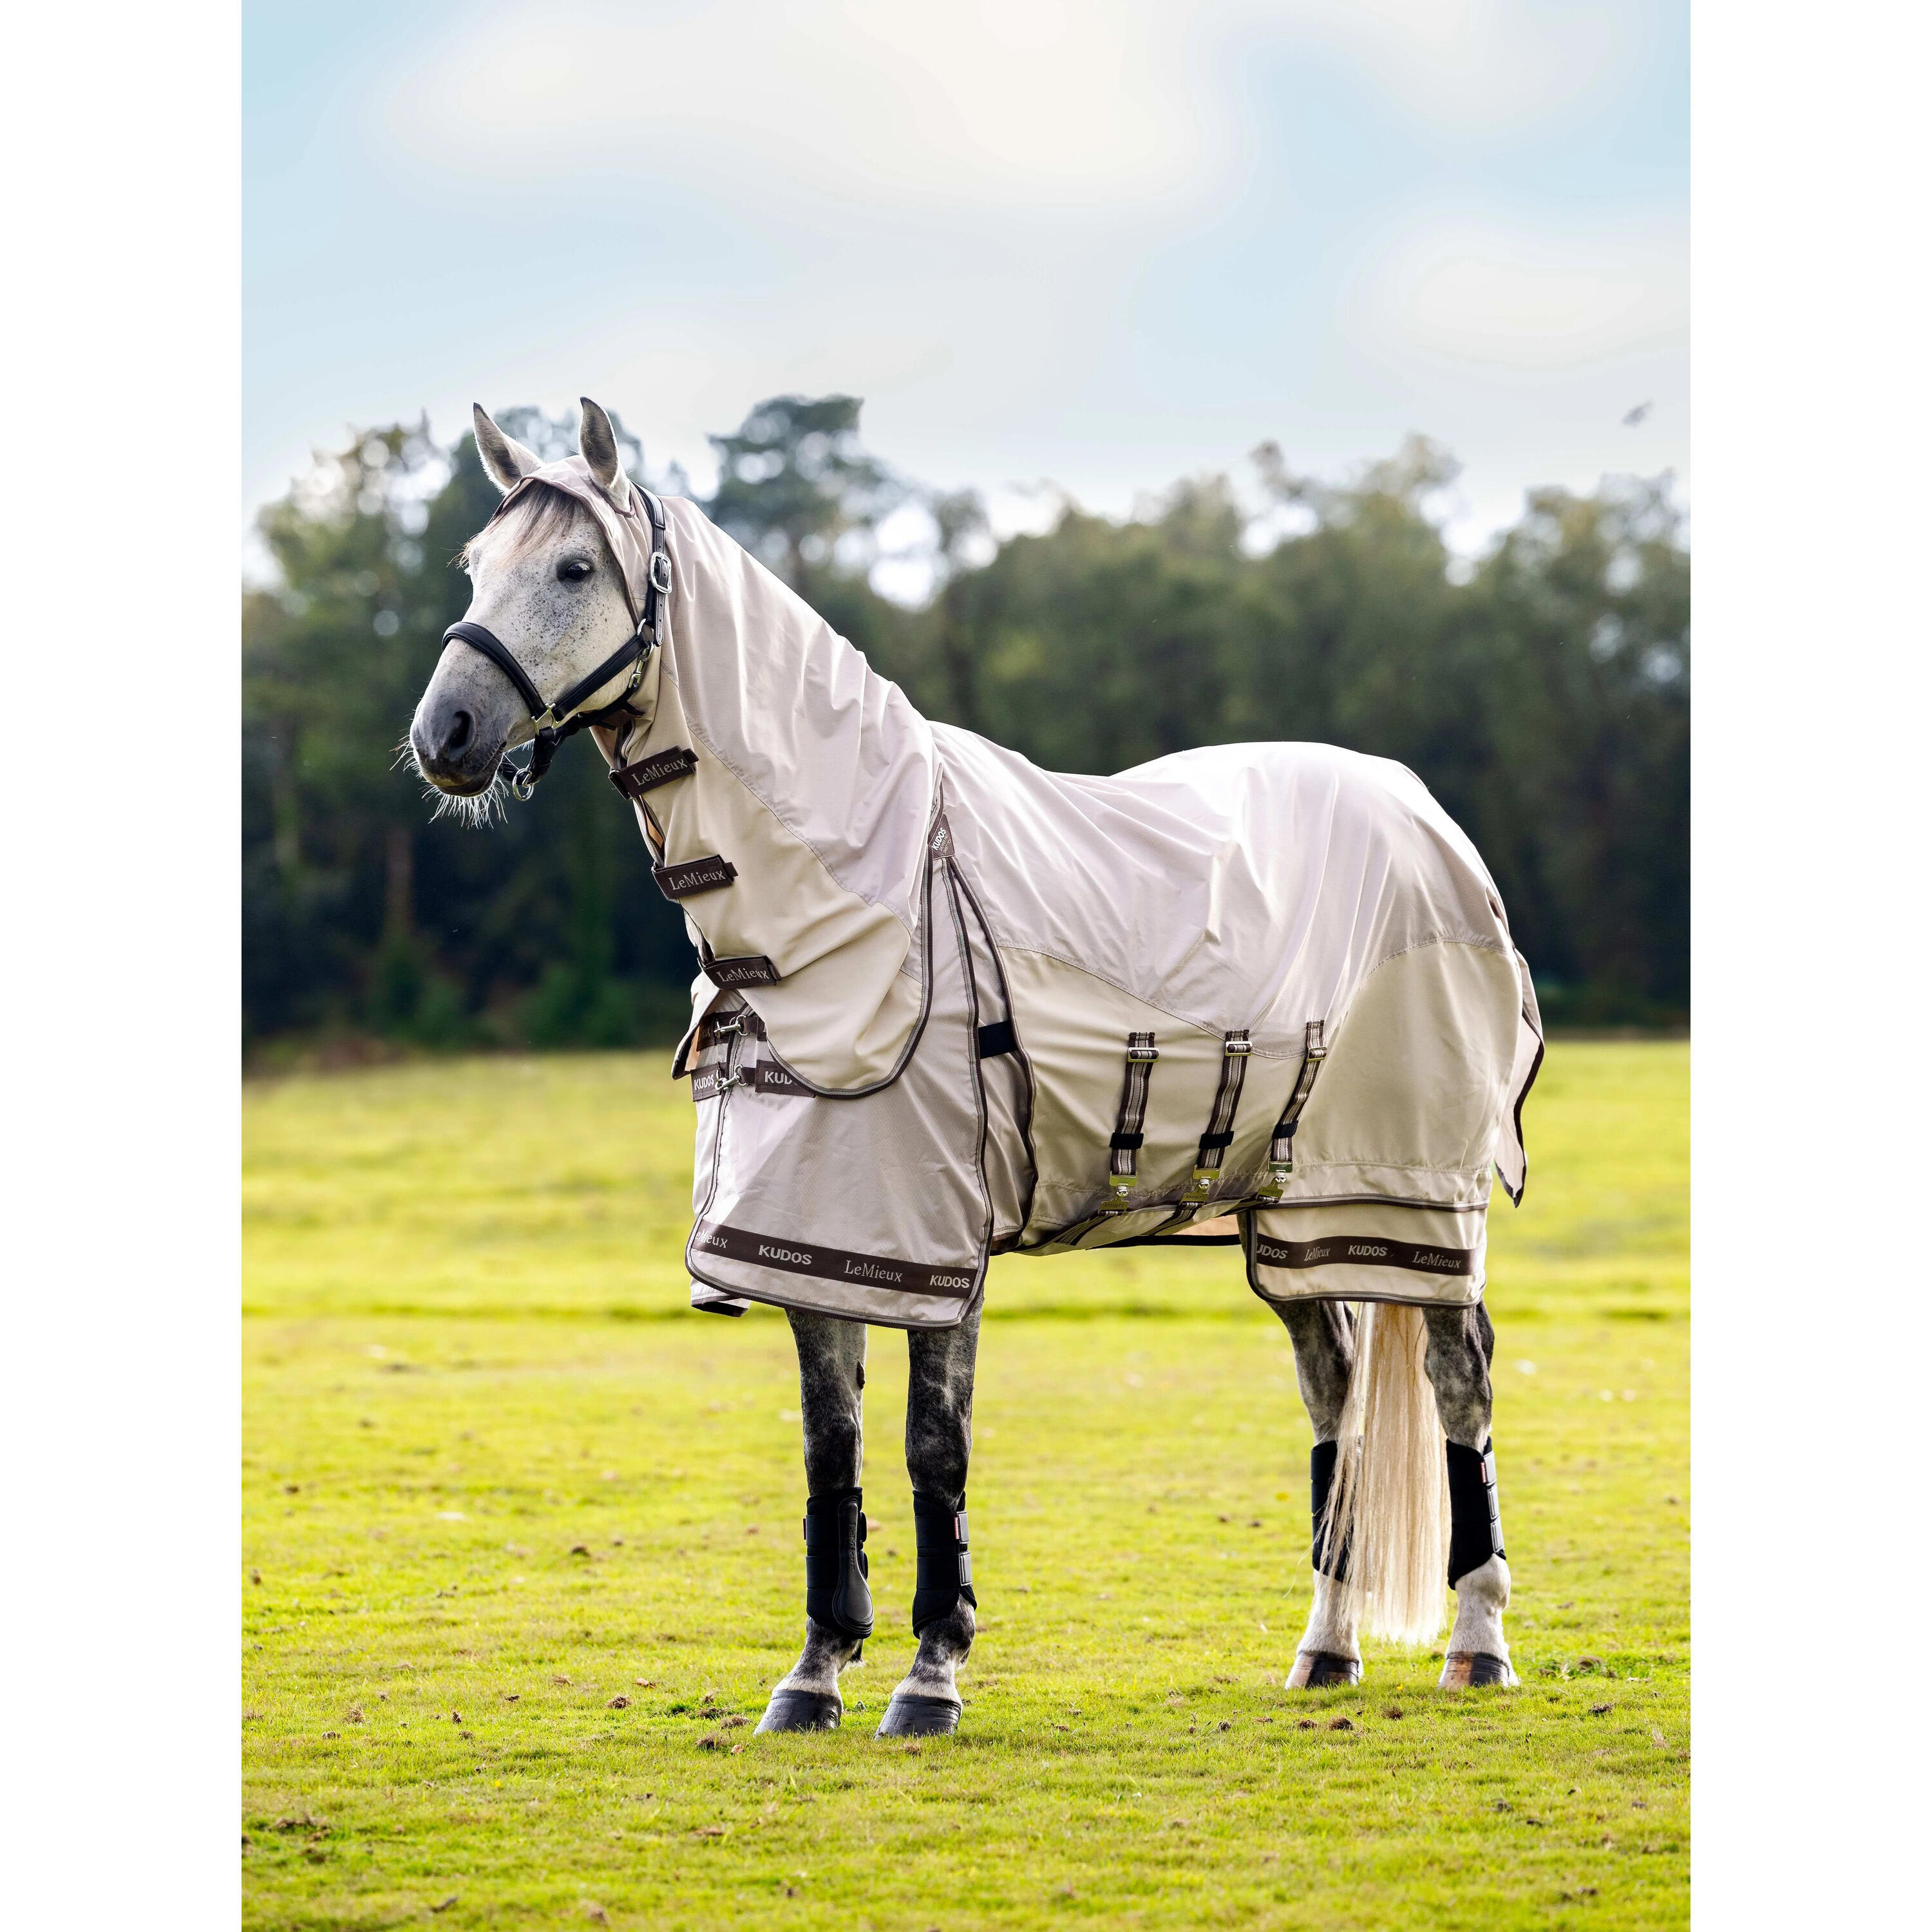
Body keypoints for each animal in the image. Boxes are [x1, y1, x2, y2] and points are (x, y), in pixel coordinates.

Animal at [410, 398, 1543, 1738]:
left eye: (576, 568)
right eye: (477, 567)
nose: (444, 736)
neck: (863, 899)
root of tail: (1428, 820)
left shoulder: (936, 1249)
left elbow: (929, 1447)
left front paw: (928, 1676)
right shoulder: (818, 1234)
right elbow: (832, 1449)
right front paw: (814, 1674)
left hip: (1412, 1203)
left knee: (1460, 1386)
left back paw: (1477, 1644)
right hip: (1295, 1225)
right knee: (1337, 1397)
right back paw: (1324, 1652)